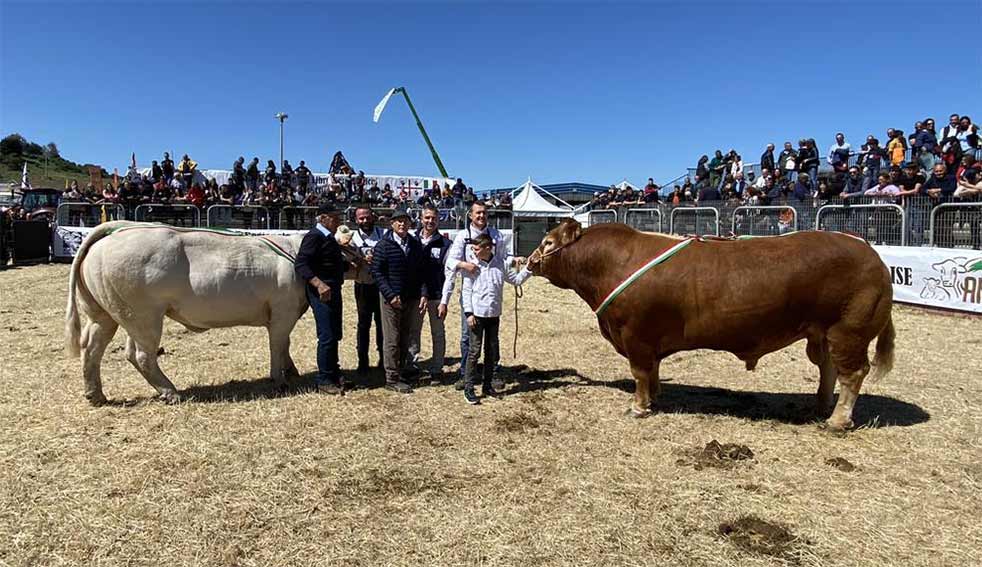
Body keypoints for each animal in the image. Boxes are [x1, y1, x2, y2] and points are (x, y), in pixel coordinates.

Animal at [65, 222, 310, 404]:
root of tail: (111, 236)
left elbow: (285, 344)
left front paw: (292, 370)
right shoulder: (283, 310)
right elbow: (277, 344)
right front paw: (280, 380)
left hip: (105, 313)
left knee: (93, 348)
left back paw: (95, 395)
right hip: (144, 316)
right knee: (141, 355)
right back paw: (171, 393)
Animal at [532, 222, 900, 430]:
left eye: (548, 242)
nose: (527, 260)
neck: (611, 263)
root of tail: (872, 255)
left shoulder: (635, 334)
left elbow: (639, 372)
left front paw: (638, 407)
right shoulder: (649, 340)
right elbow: (652, 370)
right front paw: (655, 395)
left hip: (848, 330)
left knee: (853, 373)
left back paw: (837, 421)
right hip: (820, 332)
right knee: (828, 367)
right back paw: (821, 406)